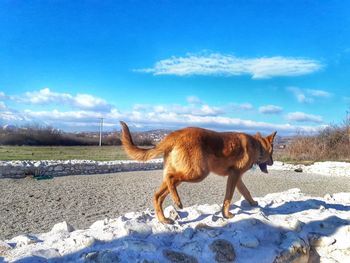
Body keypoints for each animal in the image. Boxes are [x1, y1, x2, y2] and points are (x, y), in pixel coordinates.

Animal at [120, 121, 276, 225]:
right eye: (272, 153)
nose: (273, 163)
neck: (257, 145)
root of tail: (176, 134)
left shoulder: (236, 178)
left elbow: (246, 192)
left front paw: (253, 203)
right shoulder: (234, 176)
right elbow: (228, 198)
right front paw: (226, 214)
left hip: (185, 175)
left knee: (158, 195)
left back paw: (163, 219)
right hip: (198, 173)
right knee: (170, 178)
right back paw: (178, 202)